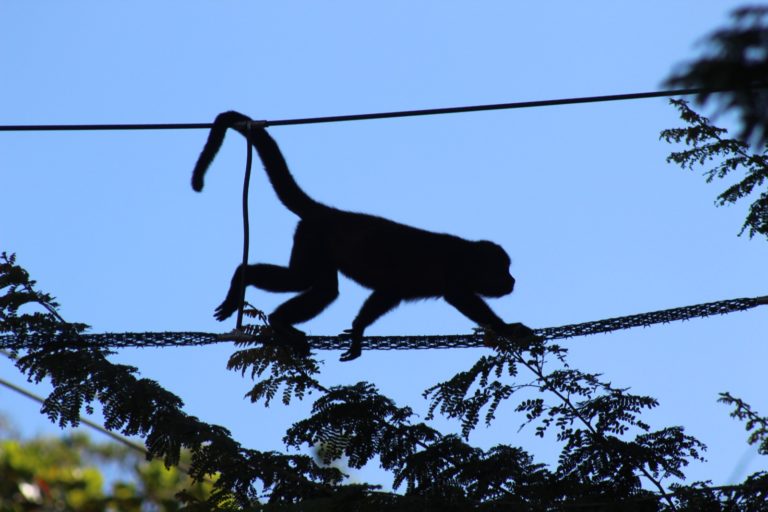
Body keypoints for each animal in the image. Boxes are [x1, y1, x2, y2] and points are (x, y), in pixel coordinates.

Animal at [192, 111, 538, 361]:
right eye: (503, 269)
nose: (512, 280)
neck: (466, 257)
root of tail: (328, 212)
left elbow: (387, 294)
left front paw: (358, 331)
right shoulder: (453, 275)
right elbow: (458, 299)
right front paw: (508, 328)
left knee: (323, 289)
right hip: (314, 238)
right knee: (305, 280)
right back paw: (256, 293)